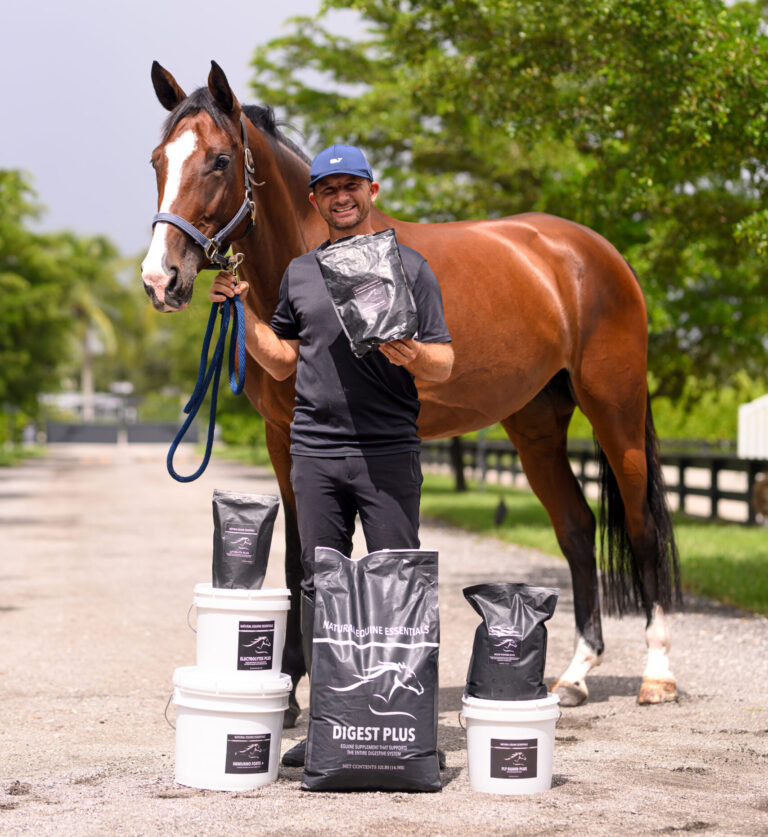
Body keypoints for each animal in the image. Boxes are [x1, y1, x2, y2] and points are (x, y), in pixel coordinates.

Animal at [141, 61, 681, 717]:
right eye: (158, 160)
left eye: (219, 160)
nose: (159, 278)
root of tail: (595, 253)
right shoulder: (283, 440)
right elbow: (298, 556)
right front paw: (292, 691)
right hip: (535, 426)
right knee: (577, 530)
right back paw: (575, 675)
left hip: (614, 407)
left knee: (642, 527)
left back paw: (657, 675)